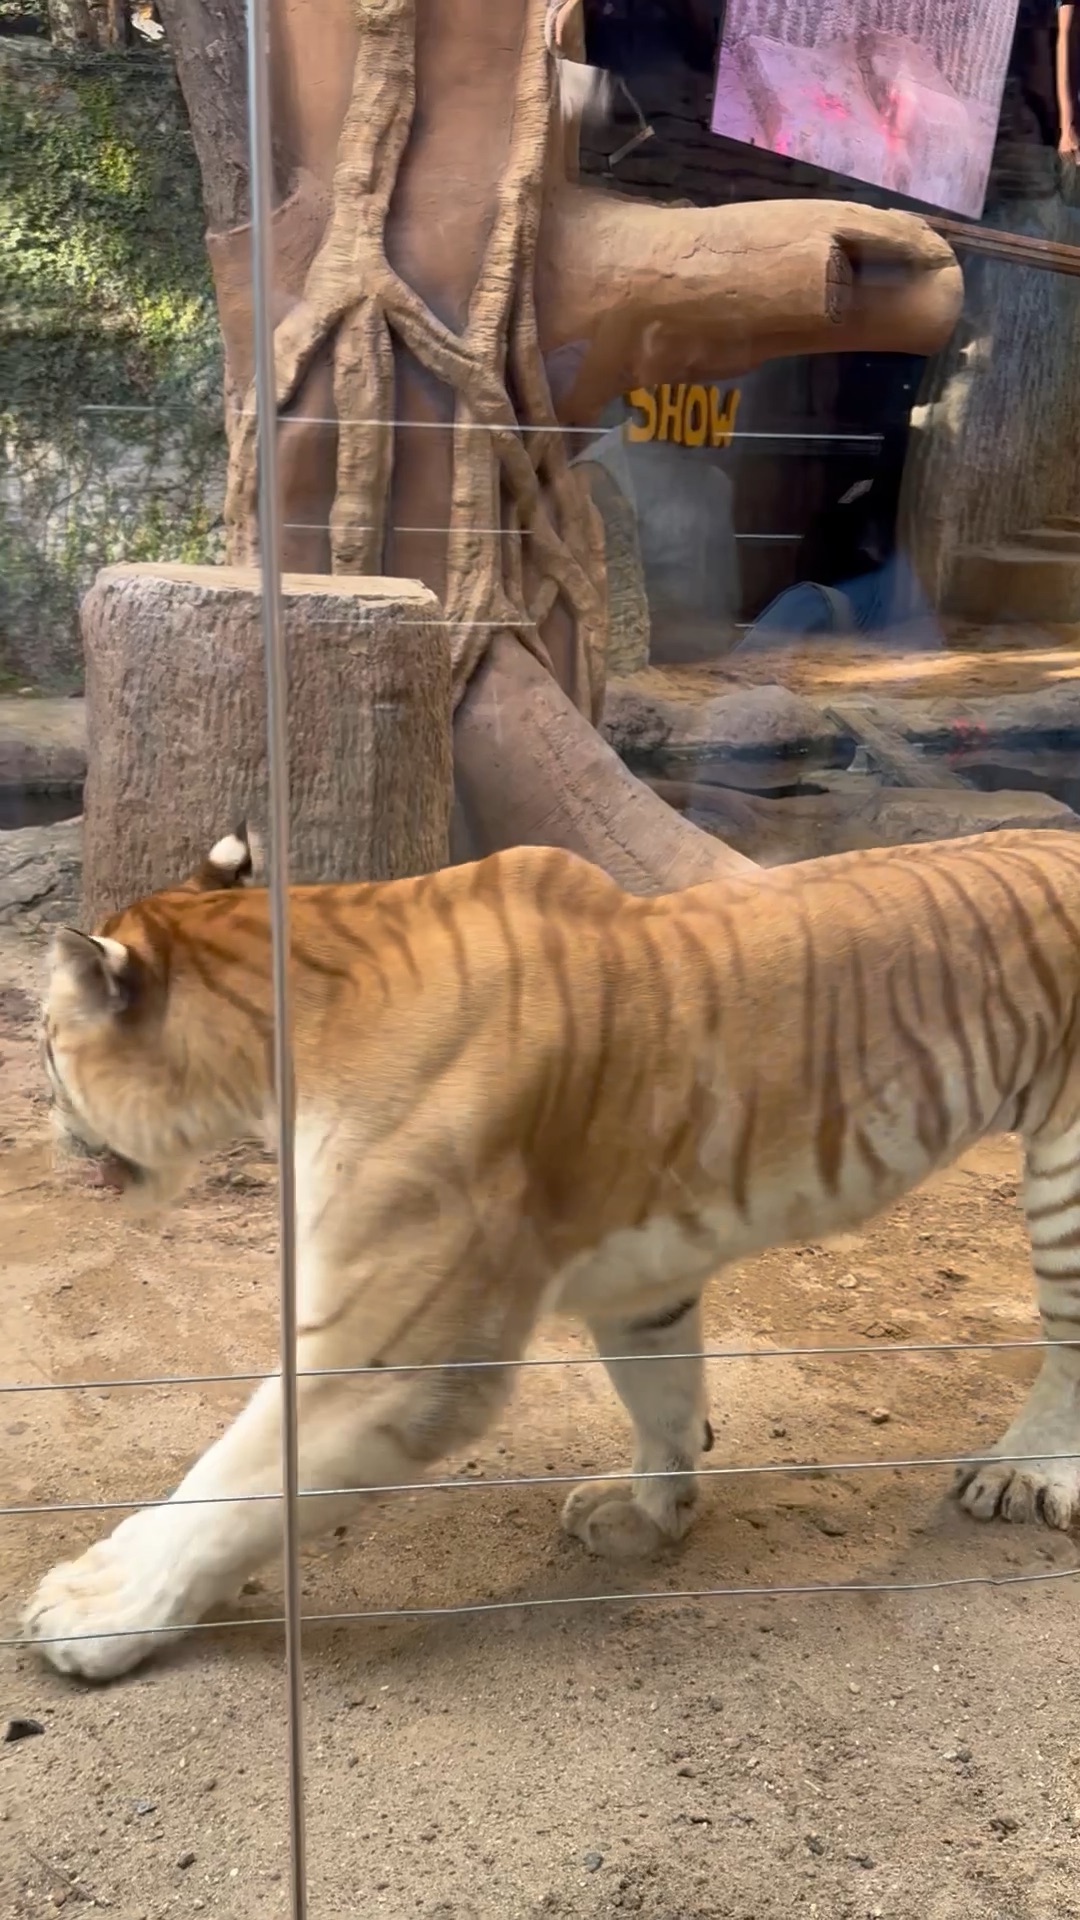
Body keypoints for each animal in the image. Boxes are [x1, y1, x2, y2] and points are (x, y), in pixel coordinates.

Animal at [23, 821, 1080, 1681]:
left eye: (41, 1039)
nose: (46, 1126)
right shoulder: (647, 1280)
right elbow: (663, 1394)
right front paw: (649, 1517)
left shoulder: (388, 1357)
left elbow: (230, 1487)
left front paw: (93, 1613)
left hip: (1068, 1182)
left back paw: (1021, 1475)